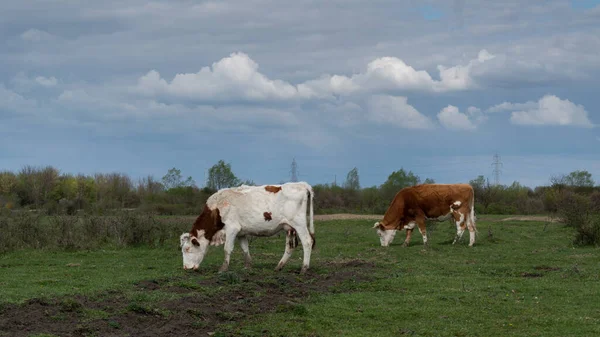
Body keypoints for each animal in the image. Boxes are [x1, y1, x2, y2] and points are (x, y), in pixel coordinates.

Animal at [180, 181, 316, 272]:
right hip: (289, 227)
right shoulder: (241, 232)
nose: (186, 268)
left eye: (187, 249)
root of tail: (302, 184)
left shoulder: (232, 229)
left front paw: (223, 268)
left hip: (299, 224)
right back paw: (279, 266)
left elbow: (227, 249)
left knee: (307, 242)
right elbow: (245, 249)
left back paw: (304, 268)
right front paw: (248, 266)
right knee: (290, 247)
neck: (217, 209)